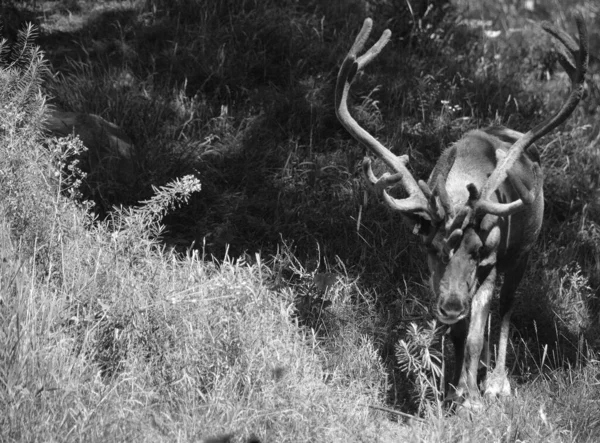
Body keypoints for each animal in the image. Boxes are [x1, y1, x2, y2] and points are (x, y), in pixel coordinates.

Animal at [336, 15, 588, 408]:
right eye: (432, 248)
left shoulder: (491, 263)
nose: (452, 306)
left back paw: (496, 379)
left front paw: (470, 397)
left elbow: (474, 331)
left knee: (505, 308)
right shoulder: (434, 278)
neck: (457, 190)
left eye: (477, 250)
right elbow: (458, 334)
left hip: (523, 251)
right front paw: (452, 389)